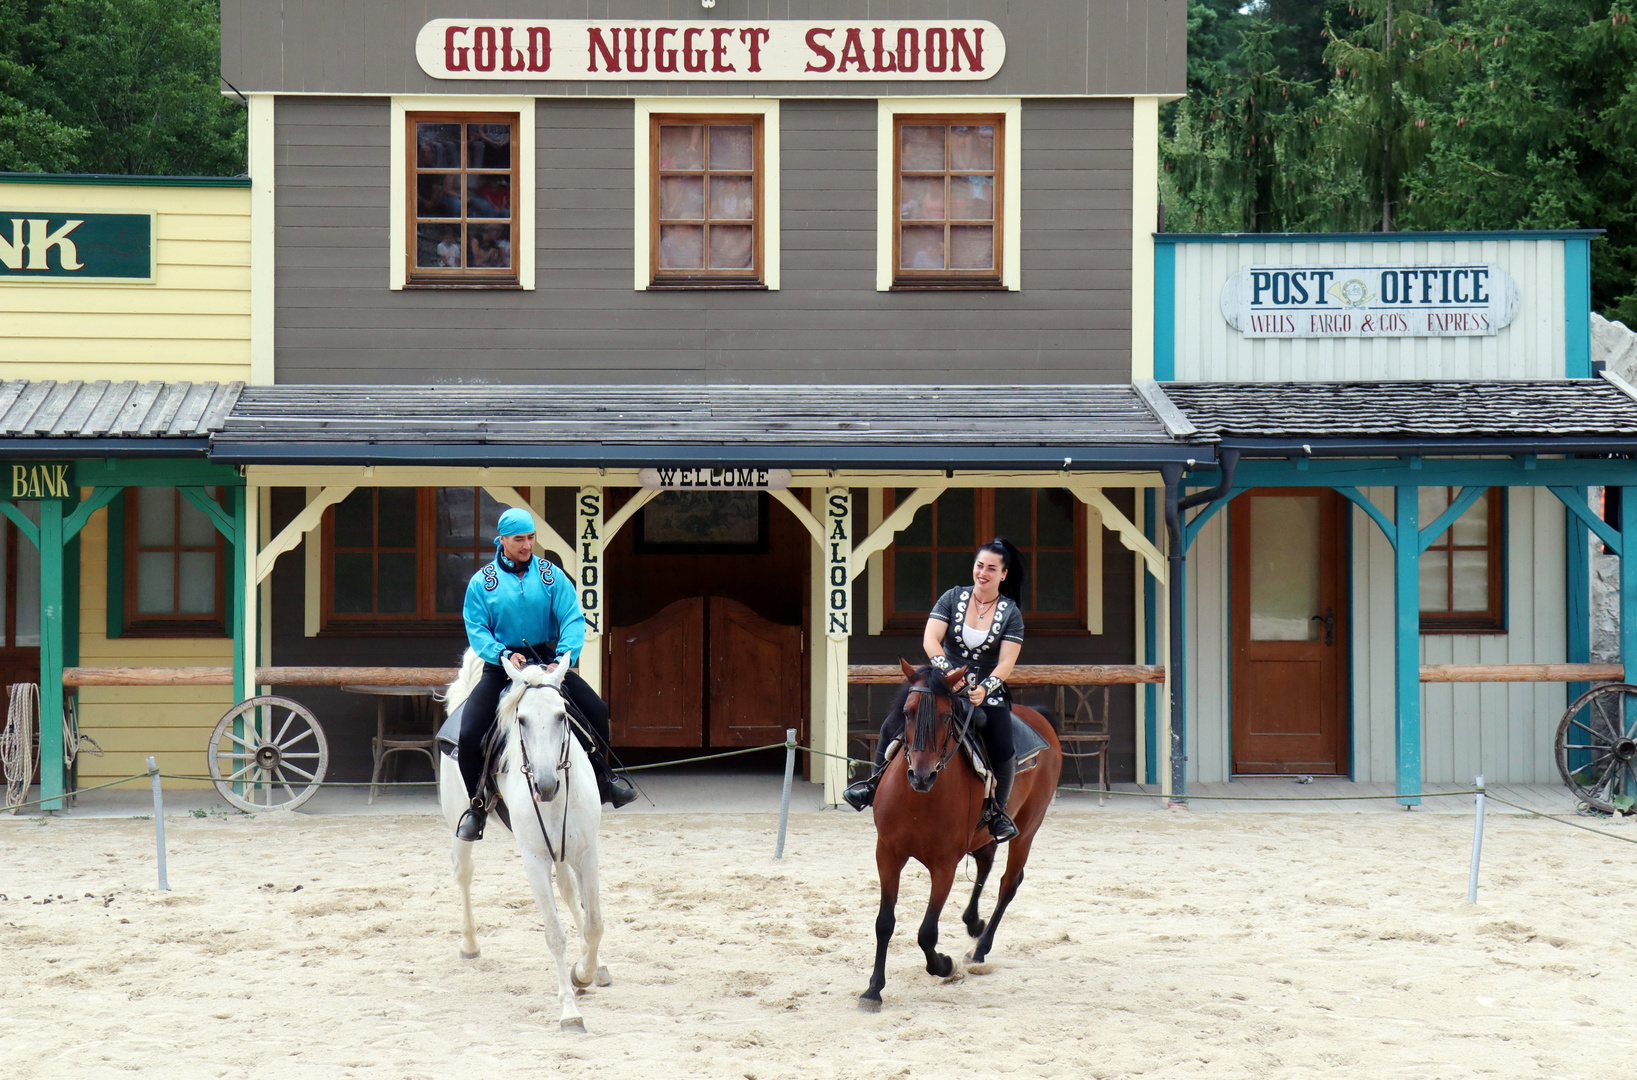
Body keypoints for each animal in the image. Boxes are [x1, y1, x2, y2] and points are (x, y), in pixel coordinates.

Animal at [441, 651, 608, 1027]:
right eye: (522, 719)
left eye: (562, 715)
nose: (545, 785)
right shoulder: (534, 860)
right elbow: (554, 934)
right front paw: (569, 1011)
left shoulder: (587, 853)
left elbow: (593, 924)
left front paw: (585, 971)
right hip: (461, 829)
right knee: (462, 874)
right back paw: (469, 945)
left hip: (564, 852)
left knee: (568, 891)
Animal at [864, 657, 1067, 1014]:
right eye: (907, 713)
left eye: (947, 715)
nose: (921, 775)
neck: (918, 800)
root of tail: (1038, 717)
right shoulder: (887, 854)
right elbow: (884, 922)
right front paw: (873, 989)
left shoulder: (945, 865)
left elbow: (927, 933)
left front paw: (944, 966)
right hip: (983, 834)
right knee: (985, 863)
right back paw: (974, 922)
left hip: (1028, 828)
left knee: (1008, 883)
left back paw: (980, 948)